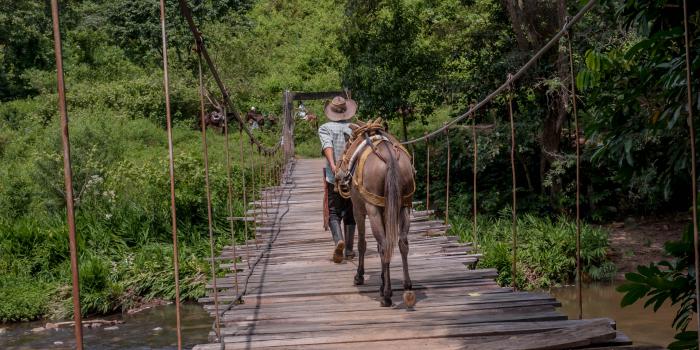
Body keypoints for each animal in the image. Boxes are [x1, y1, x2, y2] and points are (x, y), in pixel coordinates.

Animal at [338, 118, 416, 306]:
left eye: (346, 146)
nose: (340, 174)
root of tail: (390, 158)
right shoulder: (386, 209)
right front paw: (381, 280)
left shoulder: (359, 209)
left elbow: (362, 243)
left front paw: (360, 276)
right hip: (403, 205)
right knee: (401, 242)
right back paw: (407, 286)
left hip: (372, 210)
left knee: (384, 244)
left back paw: (387, 295)